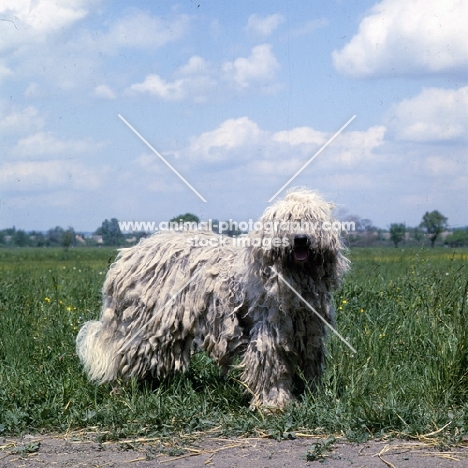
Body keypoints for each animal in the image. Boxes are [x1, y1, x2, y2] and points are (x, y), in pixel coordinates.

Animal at [76, 188, 348, 408]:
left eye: (312, 219)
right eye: (287, 220)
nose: (300, 238)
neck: (292, 276)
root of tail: (128, 256)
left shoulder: (307, 328)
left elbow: (309, 361)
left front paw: (310, 394)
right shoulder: (268, 328)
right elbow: (270, 365)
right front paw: (274, 402)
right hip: (144, 322)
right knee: (124, 353)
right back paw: (122, 390)